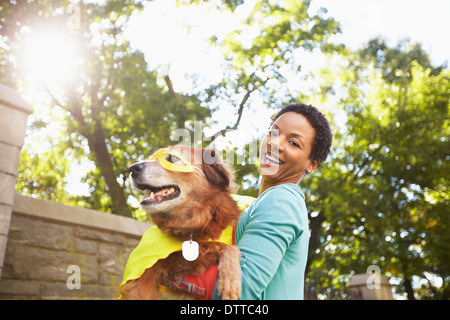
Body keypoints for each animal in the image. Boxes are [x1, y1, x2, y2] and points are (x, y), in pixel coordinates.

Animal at [118, 145, 241, 300]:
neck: (192, 227)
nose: (132, 168)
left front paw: (230, 280)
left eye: (171, 158)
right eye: (153, 158)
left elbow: (229, 247)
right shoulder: (142, 276)